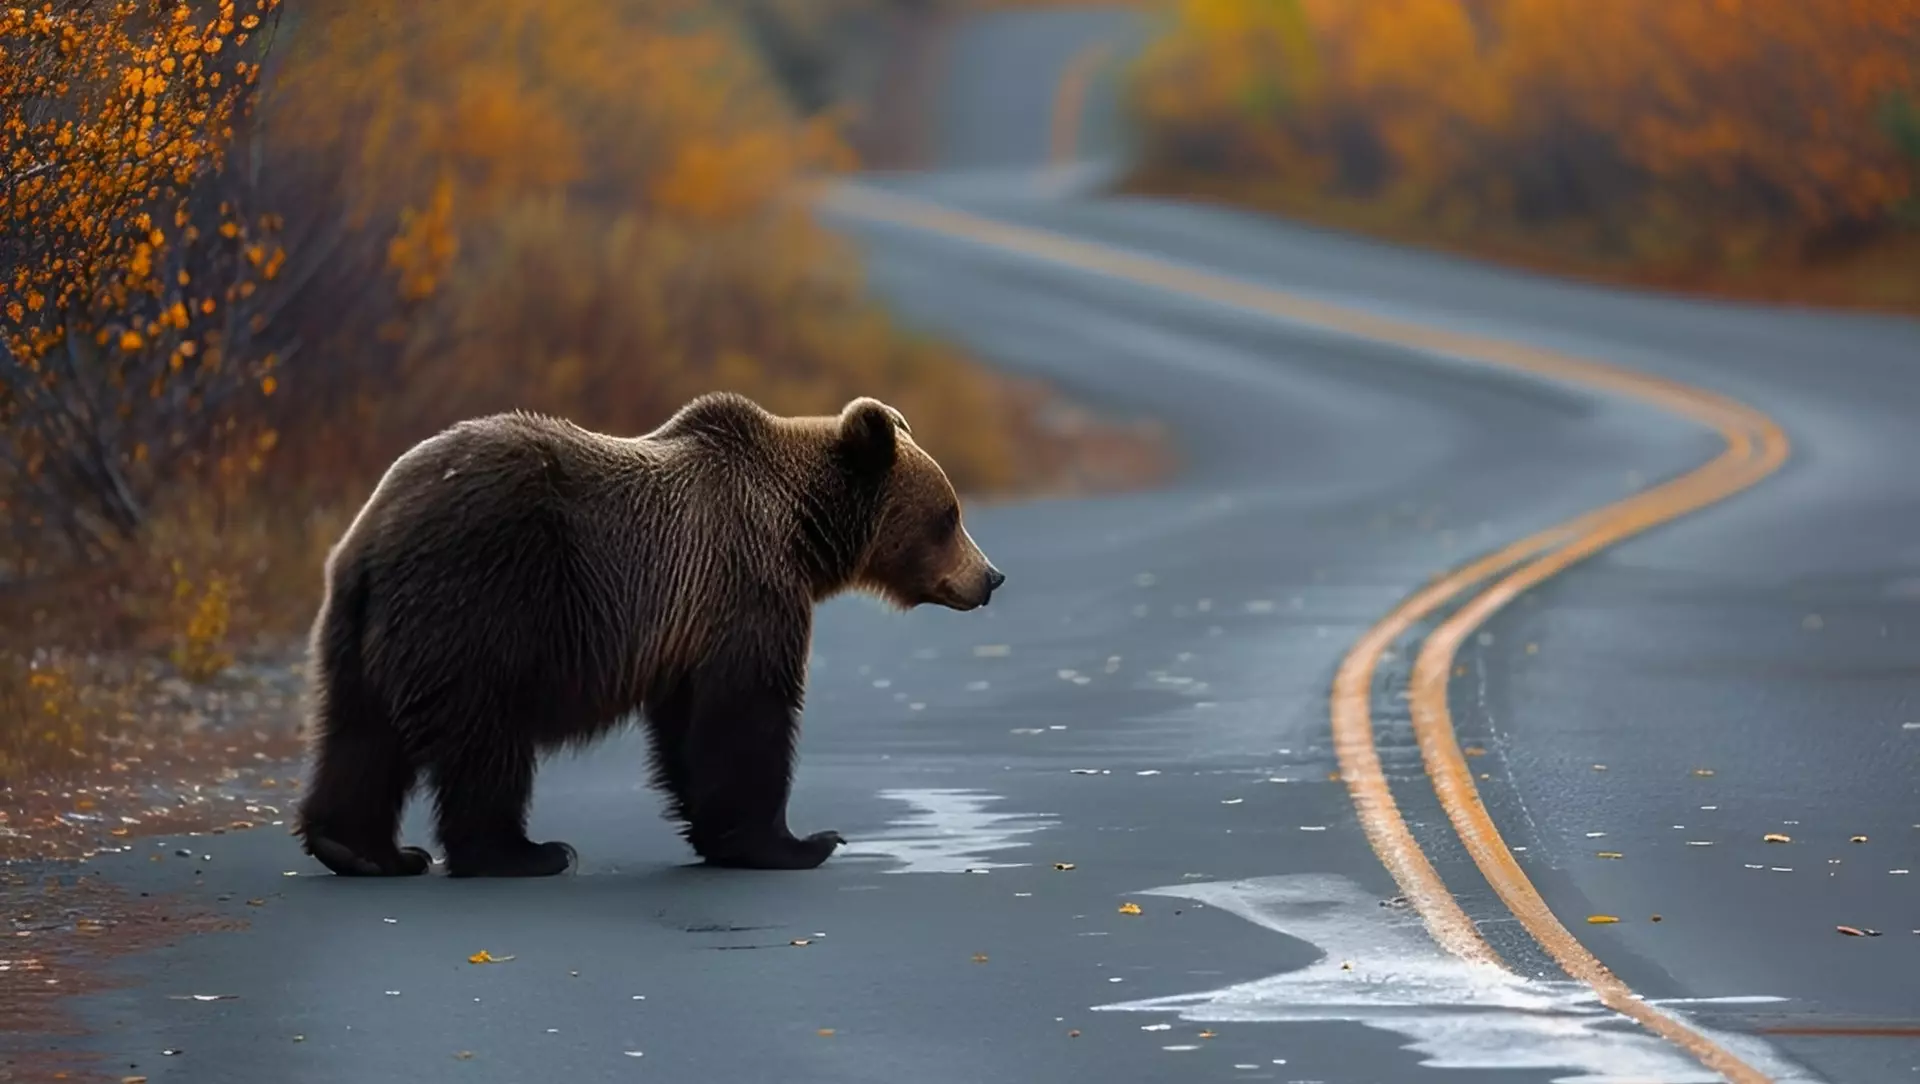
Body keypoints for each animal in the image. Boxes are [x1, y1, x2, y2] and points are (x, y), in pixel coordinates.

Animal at [289, 393, 1006, 874]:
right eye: (949, 516)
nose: (991, 577)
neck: (800, 531)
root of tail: (374, 535)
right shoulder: (744, 585)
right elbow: (746, 714)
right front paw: (800, 842)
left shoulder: (690, 623)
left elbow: (690, 729)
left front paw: (726, 836)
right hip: (482, 599)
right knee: (482, 737)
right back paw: (524, 852)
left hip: (363, 629)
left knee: (359, 732)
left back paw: (361, 849)